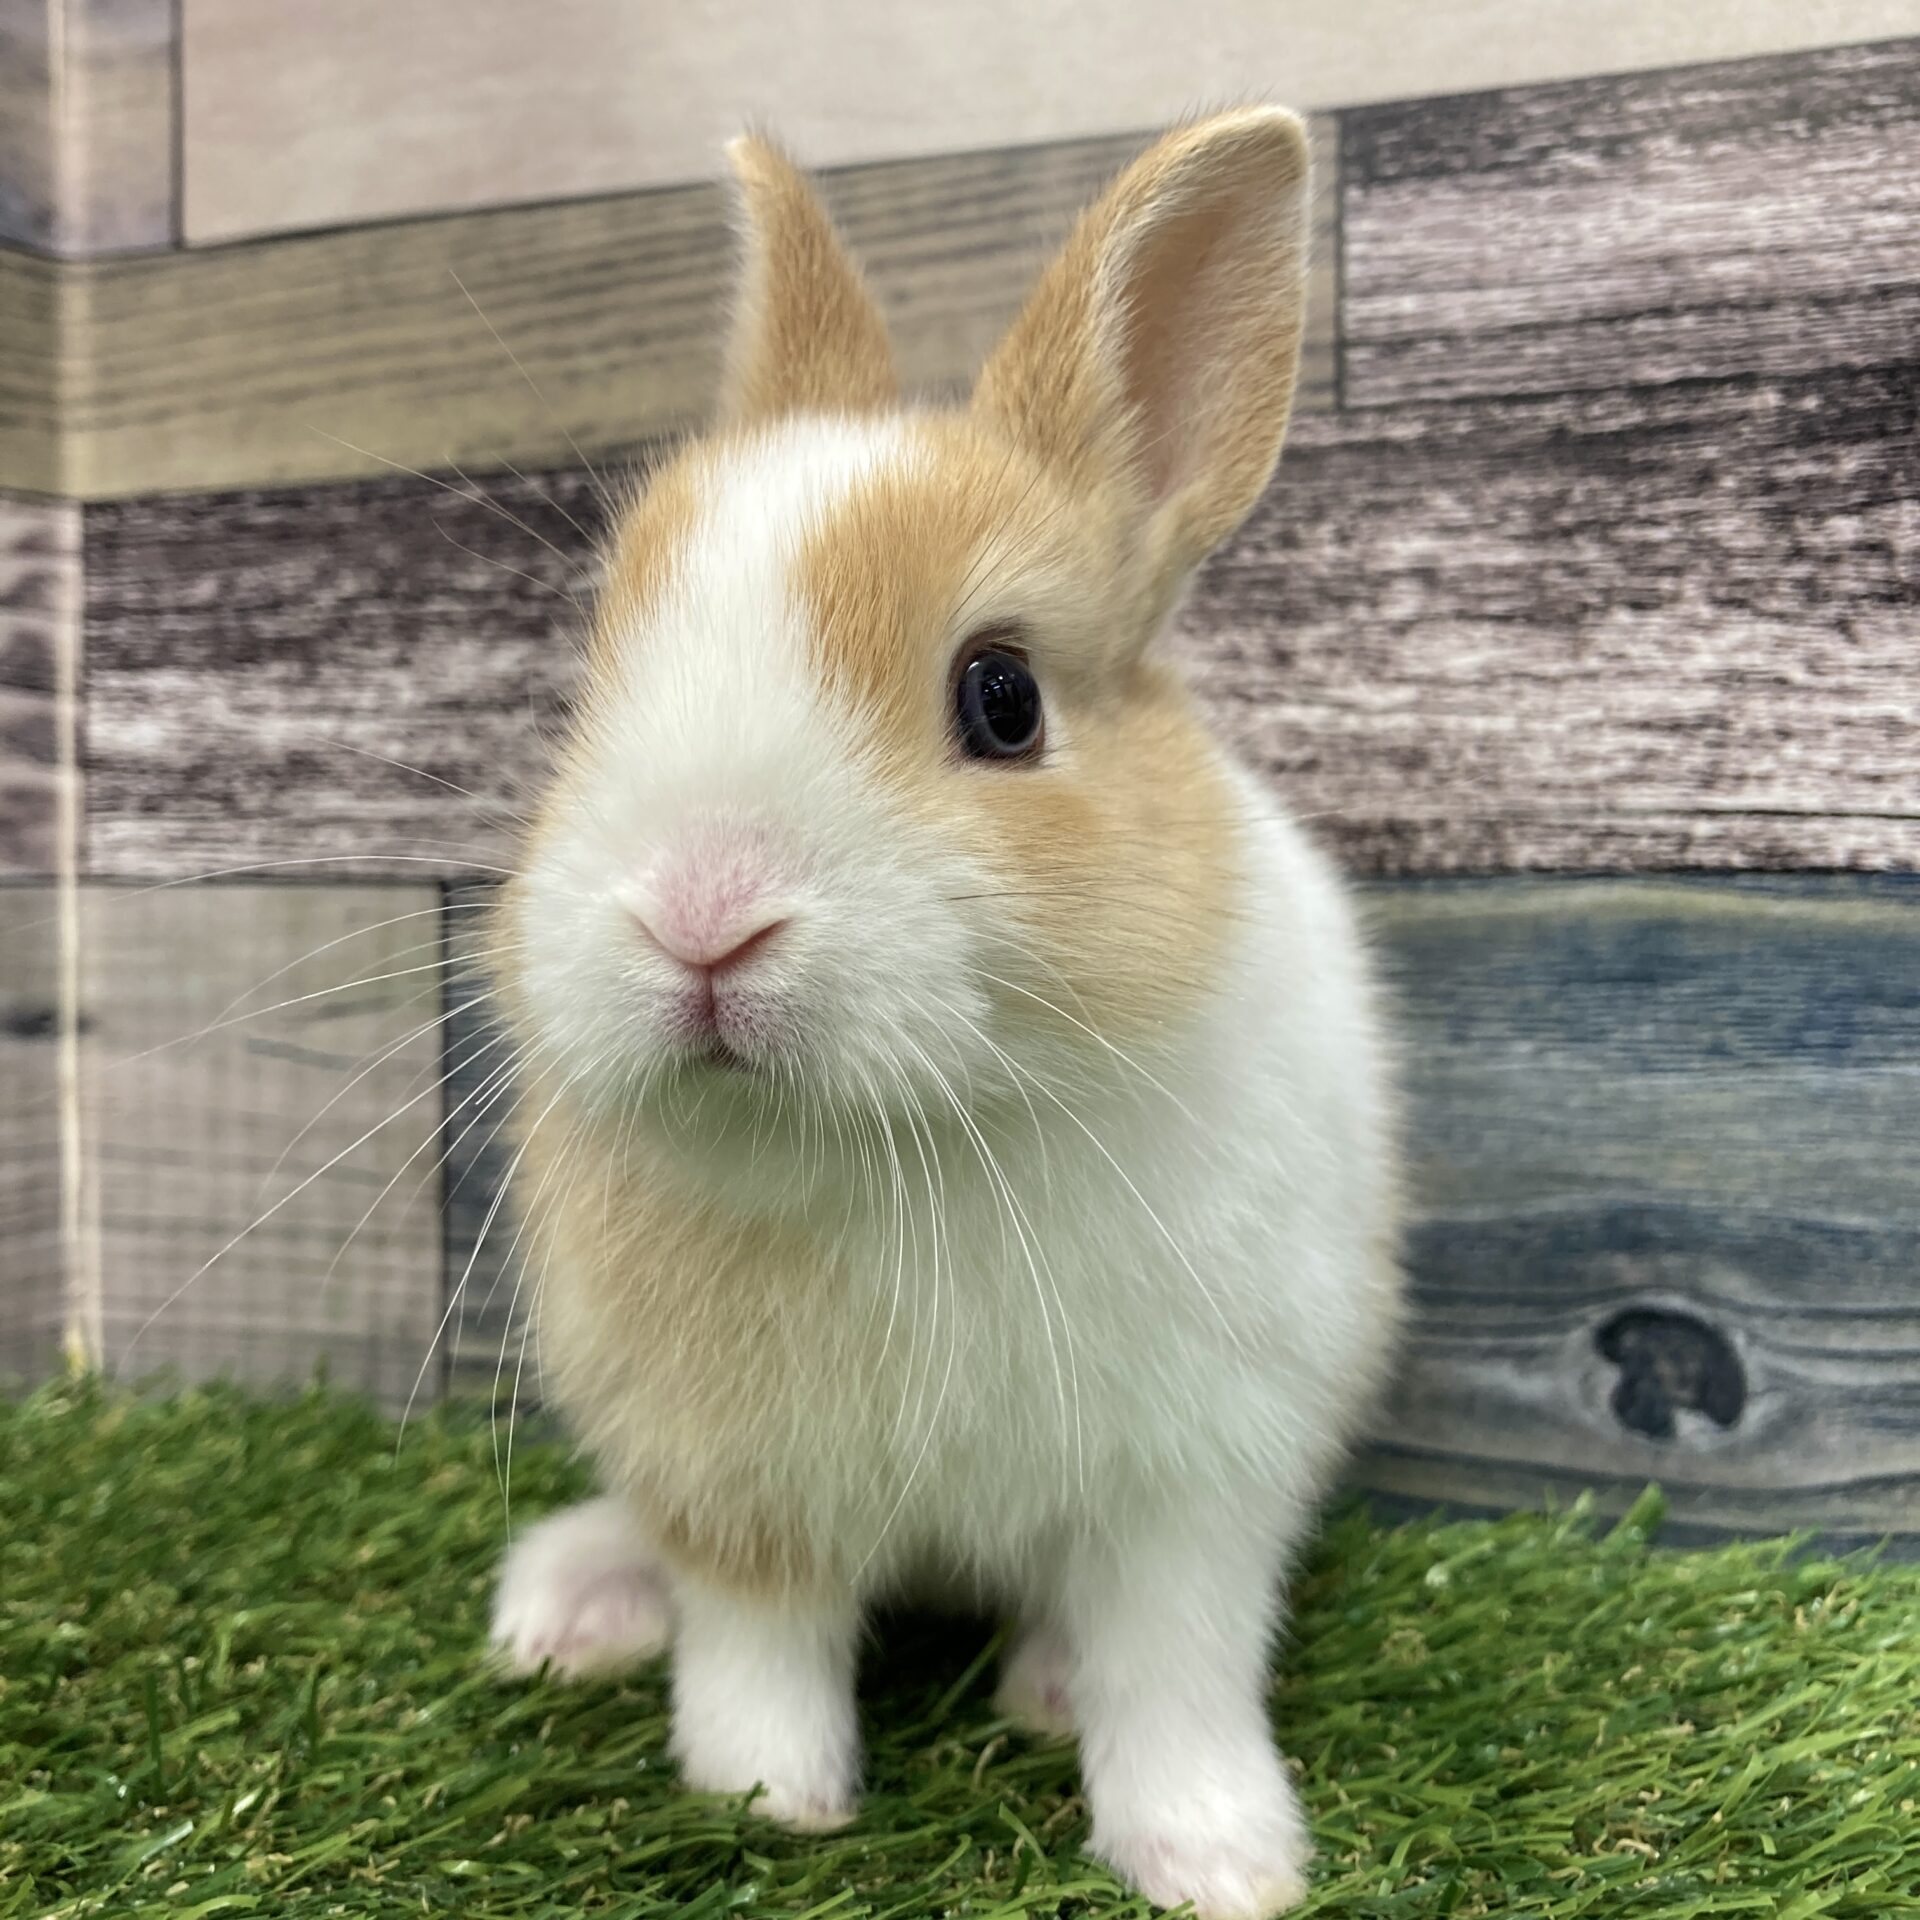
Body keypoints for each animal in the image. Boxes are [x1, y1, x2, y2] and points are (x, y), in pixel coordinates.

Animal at [484, 107, 1403, 1920]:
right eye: (597, 679)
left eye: (1005, 698)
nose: (699, 911)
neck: (911, 1138)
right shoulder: (732, 1475)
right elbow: (756, 1645)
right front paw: (768, 1801)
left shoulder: (1199, 1478)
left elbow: (1173, 1673)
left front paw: (1220, 1863)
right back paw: (571, 1606)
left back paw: (1041, 1690)